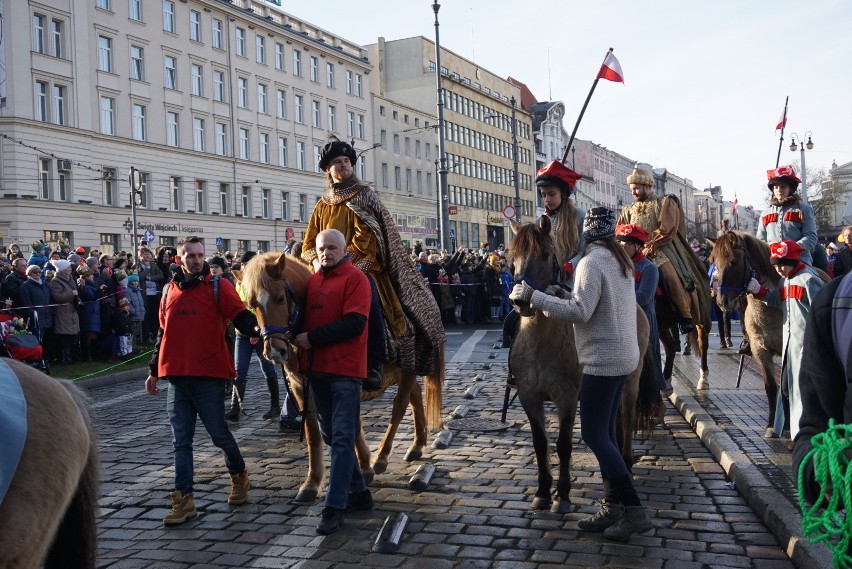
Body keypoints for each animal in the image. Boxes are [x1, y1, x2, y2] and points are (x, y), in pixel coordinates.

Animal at [236, 253, 442, 502]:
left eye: (279, 298)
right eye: (251, 305)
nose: (275, 351)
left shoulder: (349, 380)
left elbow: (350, 424)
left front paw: (365, 466)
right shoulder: (301, 386)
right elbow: (314, 433)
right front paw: (313, 483)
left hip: (410, 367)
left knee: (399, 406)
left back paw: (382, 457)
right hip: (403, 369)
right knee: (415, 398)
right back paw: (417, 446)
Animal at [708, 231, 784, 434]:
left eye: (734, 262)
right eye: (714, 262)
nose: (722, 301)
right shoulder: (760, 350)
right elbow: (771, 386)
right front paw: (771, 425)